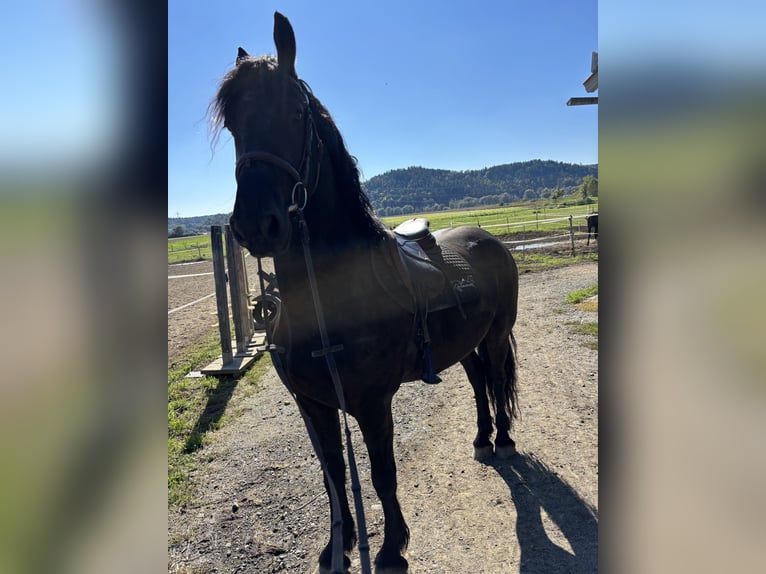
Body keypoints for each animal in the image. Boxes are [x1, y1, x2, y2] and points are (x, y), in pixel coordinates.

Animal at [213, 12, 520, 573]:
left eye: (295, 112)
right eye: (233, 126)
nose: (256, 225)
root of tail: (489, 239)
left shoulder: (373, 404)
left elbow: (380, 474)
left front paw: (392, 546)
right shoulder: (314, 406)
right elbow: (334, 477)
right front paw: (338, 545)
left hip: (494, 337)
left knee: (494, 380)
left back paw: (503, 440)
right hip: (465, 344)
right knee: (478, 385)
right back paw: (482, 439)